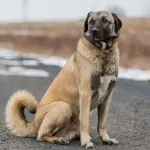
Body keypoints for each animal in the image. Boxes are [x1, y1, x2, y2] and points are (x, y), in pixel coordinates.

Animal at [4, 10, 122, 149]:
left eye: (105, 21)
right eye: (91, 22)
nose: (94, 31)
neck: (104, 54)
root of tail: (34, 124)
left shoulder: (107, 97)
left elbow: (102, 122)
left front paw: (106, 139)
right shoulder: (85, 93)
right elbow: (85, 121)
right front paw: (86, 141)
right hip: (63, 107)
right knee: (41, 135)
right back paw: (58, 140)